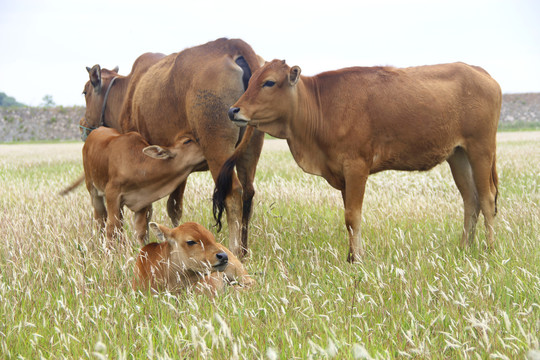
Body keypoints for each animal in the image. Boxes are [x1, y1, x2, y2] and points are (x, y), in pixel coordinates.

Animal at [122, 38, 266, 258]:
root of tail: (228, 44)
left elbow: (150, 211)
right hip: (249, 151)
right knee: (248, 193)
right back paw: (243, 251)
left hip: (217, 151)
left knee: (233, 193)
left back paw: (234, 251)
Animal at [216, 59, 502, 262]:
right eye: (251, 81)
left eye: (269, 82)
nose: (233, 110)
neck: (322, 107)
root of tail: (479, 72)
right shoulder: (342, 174)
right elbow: (349, 218)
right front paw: (352, 255)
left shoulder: (356, 167)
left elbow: (353, 216)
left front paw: (357, 260)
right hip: (458, 155)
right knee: (471, 200)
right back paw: (465, 248)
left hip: (481, 149)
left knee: (487, 199)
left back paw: (490, 249)